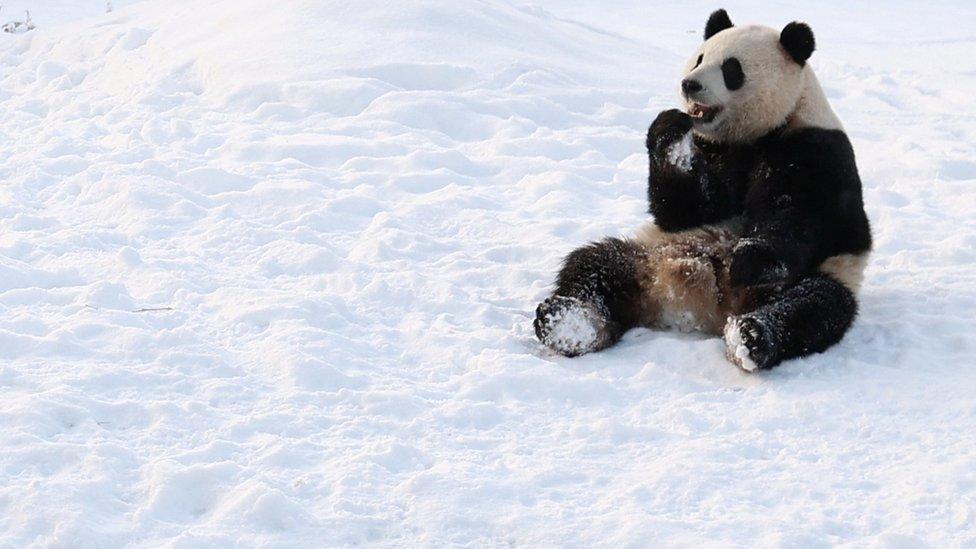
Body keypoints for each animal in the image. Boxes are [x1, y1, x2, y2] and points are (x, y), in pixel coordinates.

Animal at [536, 8, 872, 370]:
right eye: (699, 58)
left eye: (731, 69)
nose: (690, 84)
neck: (756, 134)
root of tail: (702, 308)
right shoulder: (714, 149)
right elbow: (688, 209)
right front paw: (670, 136)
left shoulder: (816, 149)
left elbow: (798, 215)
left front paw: (748, 258)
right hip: (647, 254)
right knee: (594, 265)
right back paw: (567, 322)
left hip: (820, 275)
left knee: (814, 306)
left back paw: (751, 336)